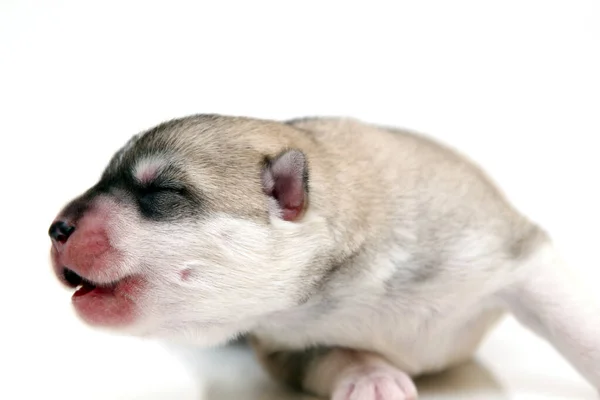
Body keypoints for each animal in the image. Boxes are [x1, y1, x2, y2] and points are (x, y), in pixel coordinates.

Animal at [48, 114, 600, 398]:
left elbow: (570, 319)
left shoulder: (519, 253)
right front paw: (372, 377)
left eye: (161, 190)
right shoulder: (283, 343)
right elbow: (336, 352)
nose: (56, 229)